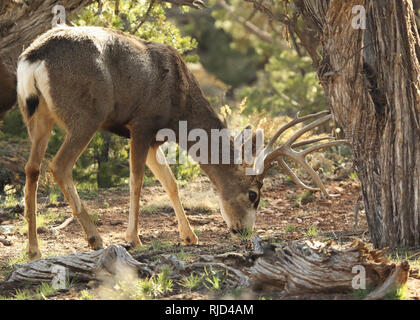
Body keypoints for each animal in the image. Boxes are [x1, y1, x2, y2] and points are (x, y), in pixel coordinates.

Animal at [15, 25, 344, 260]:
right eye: (253, 195)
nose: (242, 231)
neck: (180, 102)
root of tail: (33, 58)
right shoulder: (142, 123)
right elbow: (137, 182)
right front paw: (133, 238)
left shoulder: (153, 139)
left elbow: (170, 182)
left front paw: (189, 236)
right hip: (86, 115)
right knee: (58, 166)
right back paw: (95, 238)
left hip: (37, 114)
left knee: (31, 169)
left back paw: (34, 249)